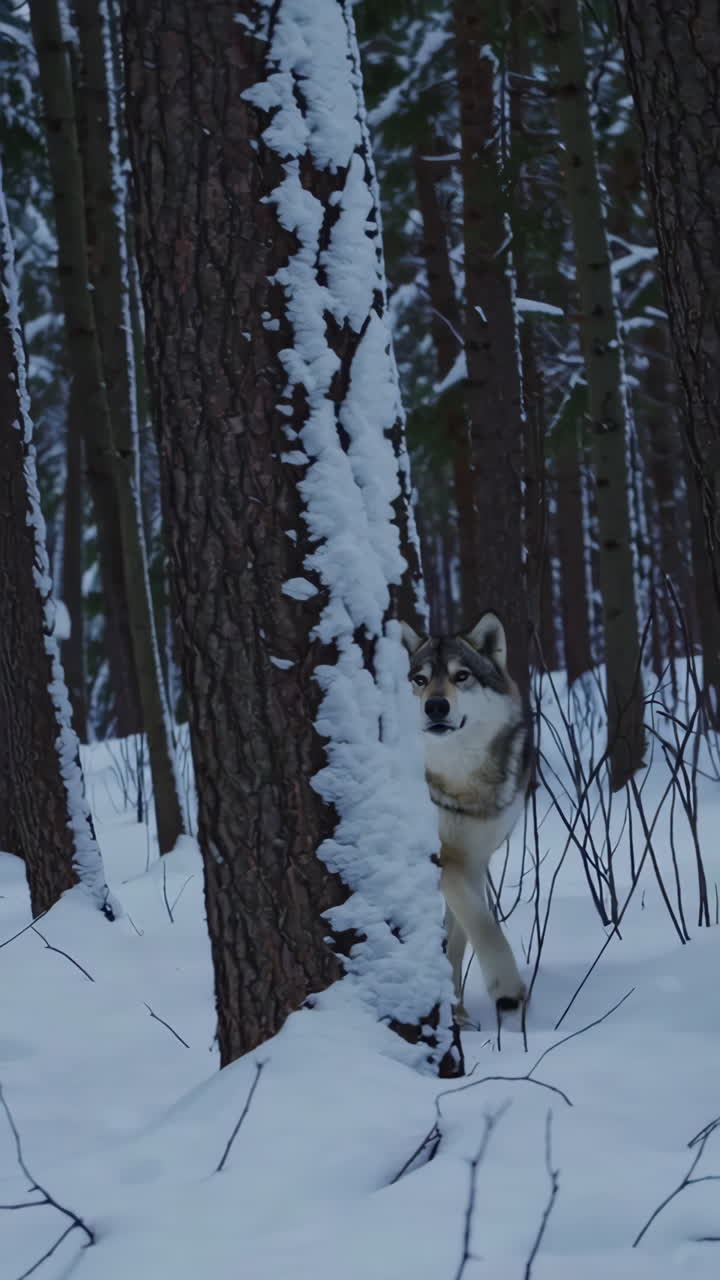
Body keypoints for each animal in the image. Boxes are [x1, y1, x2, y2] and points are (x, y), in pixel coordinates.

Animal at [401, 612, 531, 1022]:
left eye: (462, 676)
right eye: (420, 679)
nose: (436, 707)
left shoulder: (475, 857)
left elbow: (458, 938)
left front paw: (456, 1014)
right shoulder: (447, 858)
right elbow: (483, 923)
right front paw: (507, 987)